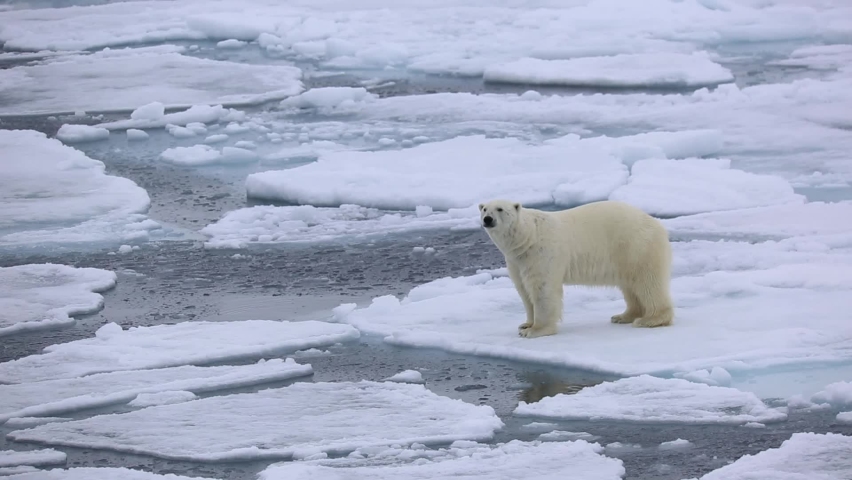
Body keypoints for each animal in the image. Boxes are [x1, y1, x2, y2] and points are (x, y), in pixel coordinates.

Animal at [479, 199, 674, 338]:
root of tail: (657, 224)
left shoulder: (542, 254)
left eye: (500, 209)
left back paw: (650, 319)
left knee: (647, 282)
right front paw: (525, 324)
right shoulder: (517, 261)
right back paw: (623, 316)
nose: (487, 219)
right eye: (484, 209)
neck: (528, 237)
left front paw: (535, 330)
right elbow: (524, 290)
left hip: (636, 246)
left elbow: (542, 290)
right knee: (630, 286)